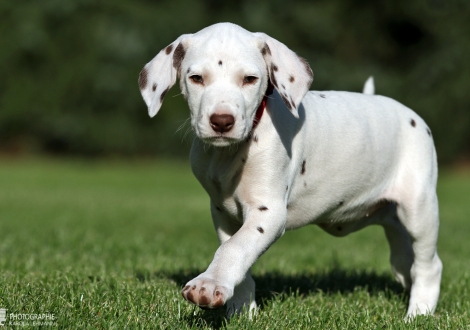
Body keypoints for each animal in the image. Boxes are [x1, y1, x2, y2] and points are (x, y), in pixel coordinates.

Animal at [138, 21, 442, 318]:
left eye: (250, 79)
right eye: (196, 78)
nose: (222, 121)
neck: (229, 154)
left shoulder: (269, 212)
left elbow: (234, 248)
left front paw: (209, 285)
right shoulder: (223, 211)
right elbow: (235, 250)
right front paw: (242, 310)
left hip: (419, 208)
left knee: (428, 265)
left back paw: (419, 313)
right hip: (389, 215)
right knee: (402, 254)